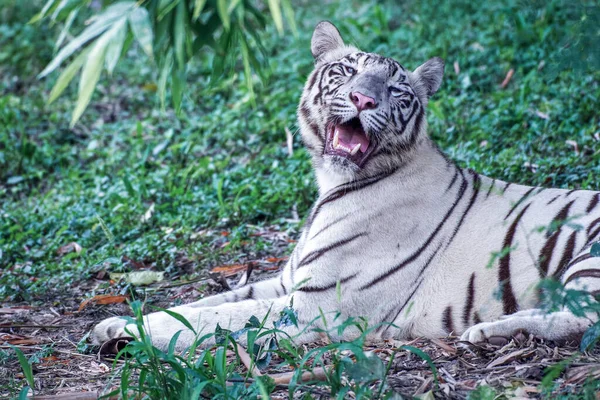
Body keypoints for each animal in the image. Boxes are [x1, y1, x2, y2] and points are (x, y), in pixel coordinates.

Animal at [91, 21, 600, 350]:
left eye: (396, 90)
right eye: (347, 71)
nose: (362, 98)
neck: (332, 183)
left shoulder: (316, 305)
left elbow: (209, 316)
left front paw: (126, 331)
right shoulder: (287, 281)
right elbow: (212, 299)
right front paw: (114, 322)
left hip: (588, 254)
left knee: (584, 320)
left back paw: (491, 331)